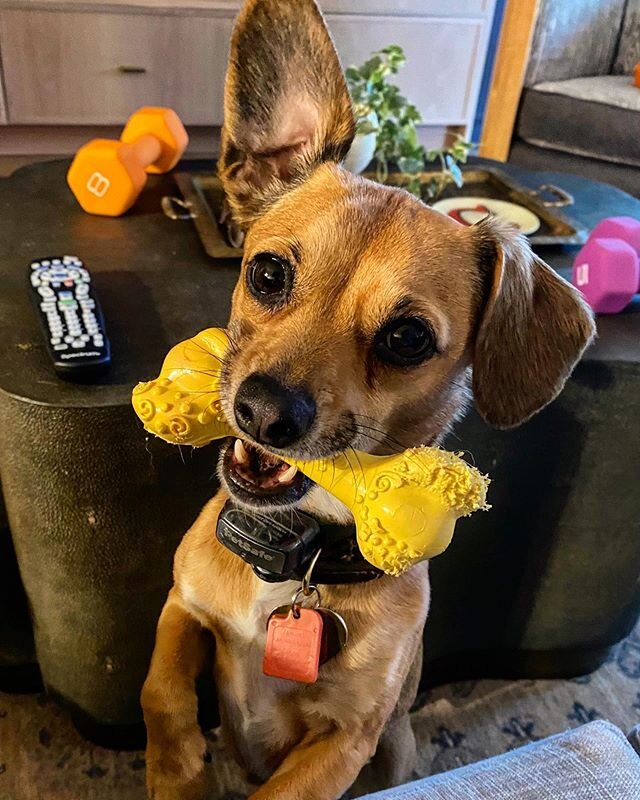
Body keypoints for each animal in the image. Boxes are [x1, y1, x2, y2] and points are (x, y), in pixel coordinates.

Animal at [140, 1, 596, 800]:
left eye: (407, 338)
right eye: (266, 272)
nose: (263, 412)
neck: (295, 565)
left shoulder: (344, 743)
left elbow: (281, 788)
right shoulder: (180, 605)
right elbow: (159, 686)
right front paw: (175, 767)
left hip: (396, 747)